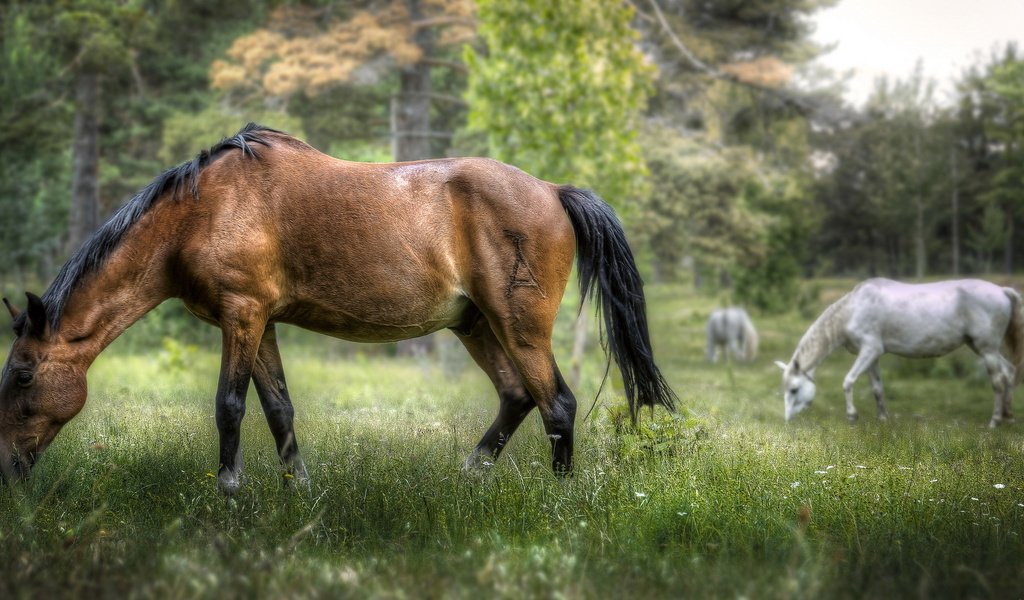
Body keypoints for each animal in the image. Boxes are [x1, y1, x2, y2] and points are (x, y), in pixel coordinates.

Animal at [2, 122, 679, 491]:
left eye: (23, 374)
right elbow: (278, 408)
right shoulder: (260, 322)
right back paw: (469, 475)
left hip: (520, 326)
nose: (7, 469)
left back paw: (558, 503)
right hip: (476, 325)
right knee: (518, 397)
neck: (202, 211)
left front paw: (228, 491)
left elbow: (229, 406)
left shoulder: (241, 314)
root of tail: (554, 191)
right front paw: (296, 488)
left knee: (557, 403)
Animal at [774, 276, 1024, 425]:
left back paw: (994, 421)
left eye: (794, 389)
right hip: (982, 347)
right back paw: (1009, 417)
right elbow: (877, 388)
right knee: (1010, 372)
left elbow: (848, 381)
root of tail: (1003, 291)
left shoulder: (869, 350)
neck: (853, 309)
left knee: (998, 380)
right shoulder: (872, 356)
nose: (787, 420)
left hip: (986, 349)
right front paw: (883, 418)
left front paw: (852, 416)